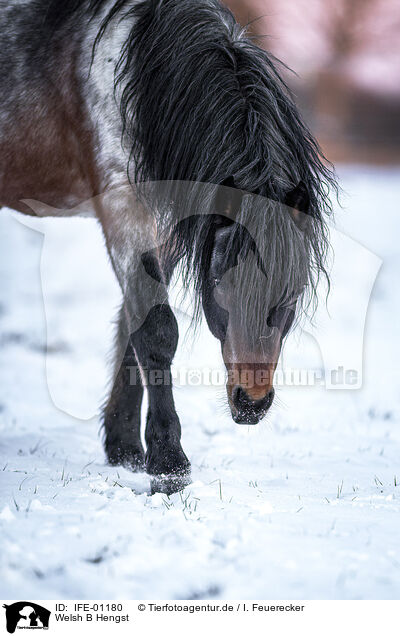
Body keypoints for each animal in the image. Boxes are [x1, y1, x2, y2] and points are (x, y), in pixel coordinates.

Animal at [0, 0, 338, 494]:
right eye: (220, 285)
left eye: (291, 294)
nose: (252, 402)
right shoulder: (125, 210)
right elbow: (157, 329)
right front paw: (169, 463)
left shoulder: (167, 227)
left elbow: (132, 323)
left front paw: (124, 447)